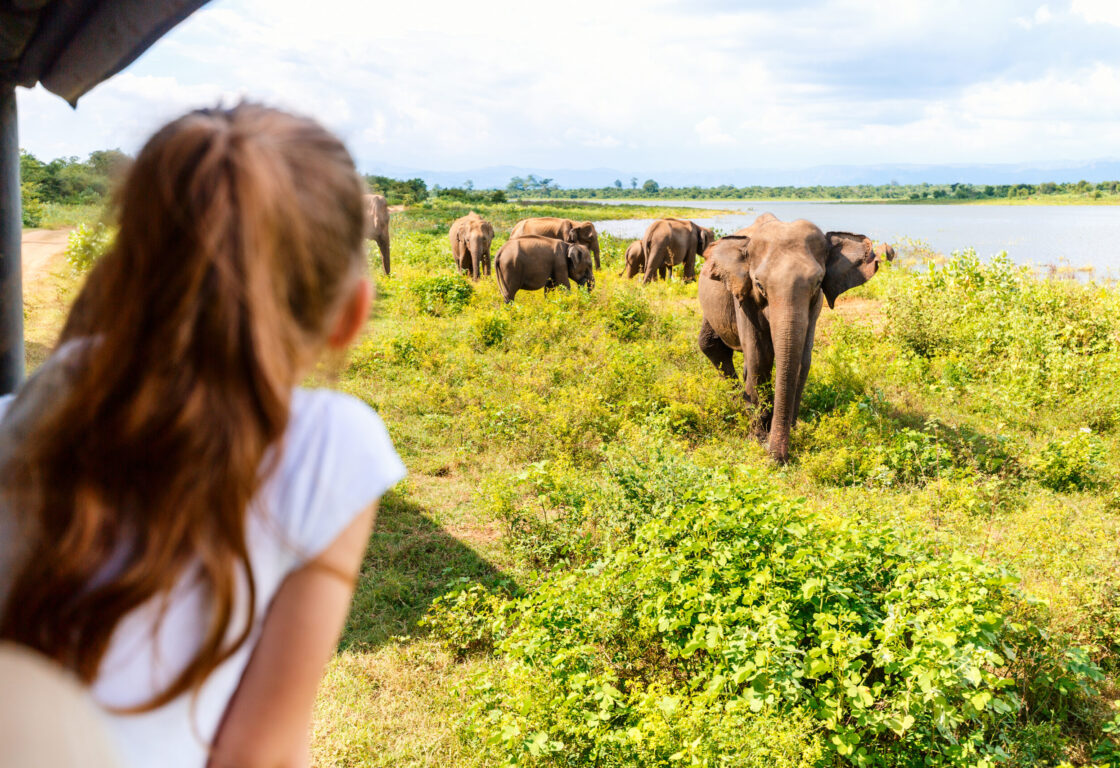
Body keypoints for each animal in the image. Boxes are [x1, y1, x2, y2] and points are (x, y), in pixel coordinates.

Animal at [697, 214, 893, 463]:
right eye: (759, 284)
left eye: (818, 282)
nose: (776, 459)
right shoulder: (744, 298)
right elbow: (759, 359)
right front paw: (758, 437)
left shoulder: (815, 305)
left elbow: (802, 360)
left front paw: (790, 430)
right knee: (712, 346)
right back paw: (740, 405)